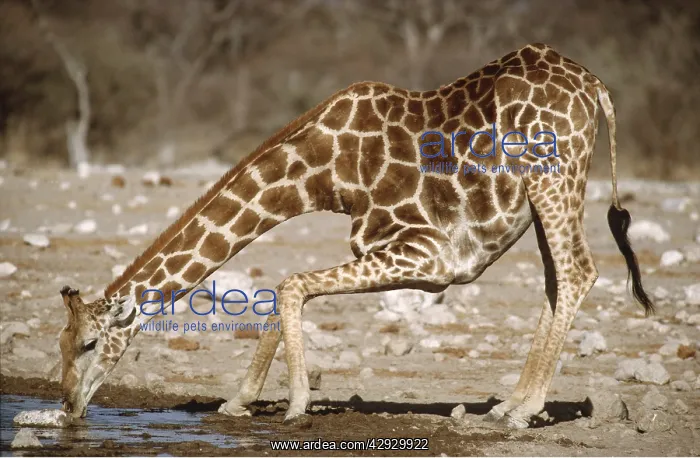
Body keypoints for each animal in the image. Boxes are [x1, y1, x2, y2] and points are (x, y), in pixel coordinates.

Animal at [57, 43, 653, 429]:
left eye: (88, 343)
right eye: (59, 345)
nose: (67, 407)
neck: (325, 172)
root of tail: (593, 84)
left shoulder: (433, 258)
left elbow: (291, 283)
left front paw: (295, 404)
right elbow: (283, 290)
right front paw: (240, 400)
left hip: (552, 173)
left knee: (578, 271)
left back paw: (524, 410)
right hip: (544, 189)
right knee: (556, 280)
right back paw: (510, 404)